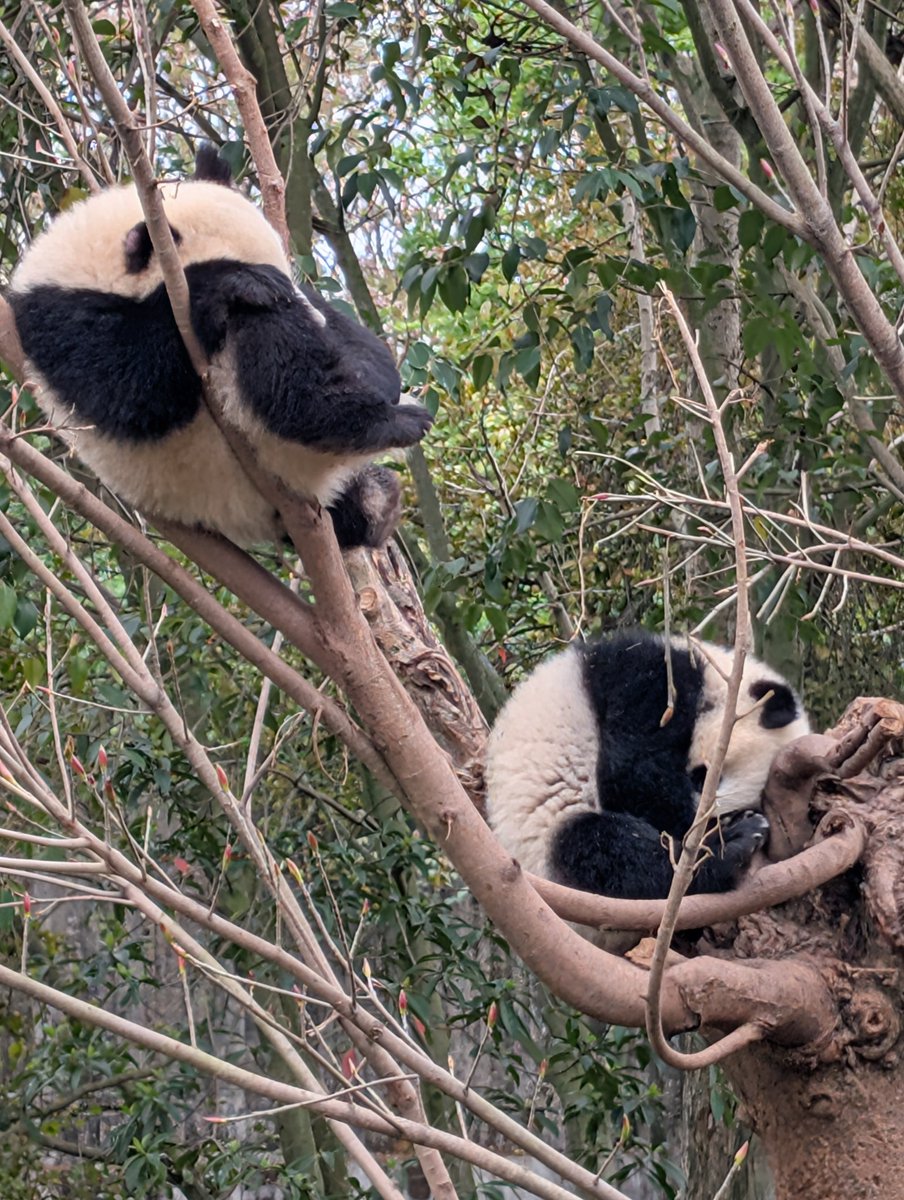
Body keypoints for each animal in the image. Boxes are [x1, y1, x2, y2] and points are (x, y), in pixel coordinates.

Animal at [7, 146, 431, 549]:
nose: (315, 320)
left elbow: (361, 342)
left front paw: (374, 367)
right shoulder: (60, 320)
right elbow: (133, 391)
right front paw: (233, 284)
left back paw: (379, 501)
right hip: (236, 457)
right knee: (284, 383)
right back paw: (378, 426)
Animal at [485, 630, 810, 910]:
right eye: (705, 777)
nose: (706, 825)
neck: (719, 680)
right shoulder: (651, 682)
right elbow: (632, 773)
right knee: (609, 852)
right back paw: (731, 848)